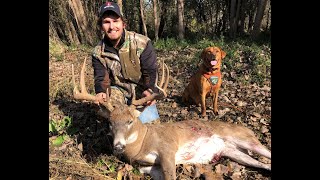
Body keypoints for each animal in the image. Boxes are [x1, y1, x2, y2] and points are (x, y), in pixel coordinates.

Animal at [72, 58, 270, 179]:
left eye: (130, 121)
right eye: (110, 123)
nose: (118, 146)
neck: (141, 144)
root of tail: (247, 129)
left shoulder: (168, 148)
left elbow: (171, 175)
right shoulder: (146, 164)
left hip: (246, 139)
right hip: (233, 152)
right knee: (265, 165)